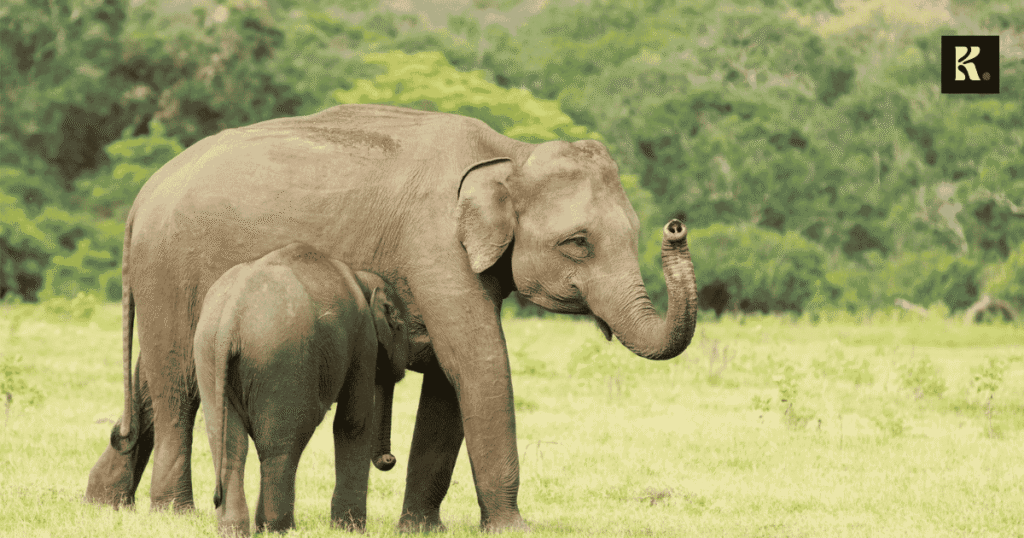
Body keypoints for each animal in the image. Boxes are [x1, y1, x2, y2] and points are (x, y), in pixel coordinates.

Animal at [193, 242, 410, 535]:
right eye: (400, 326)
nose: (390, 459)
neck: (362, 278)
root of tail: (231, 318)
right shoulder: (364, 338)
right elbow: (353, 421)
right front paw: (350, 529)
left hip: (209, 355)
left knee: (228, 445)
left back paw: (235, 530)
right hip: (281, 358)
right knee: (282, 445)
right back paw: (278, 529)